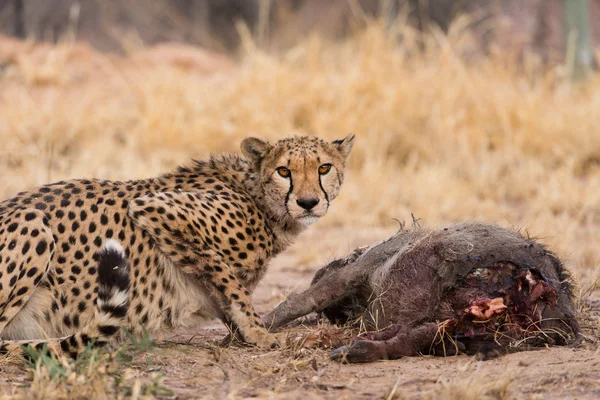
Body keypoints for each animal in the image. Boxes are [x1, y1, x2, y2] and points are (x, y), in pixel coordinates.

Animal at [0, 134, 356, 356]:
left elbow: (225, 291)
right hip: (34, 221)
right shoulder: (156, 208)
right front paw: (259, 334)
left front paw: (243, 334)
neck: (259, 198)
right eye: (284, 171)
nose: (308, 203)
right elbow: (229, 281)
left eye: (324, 168)